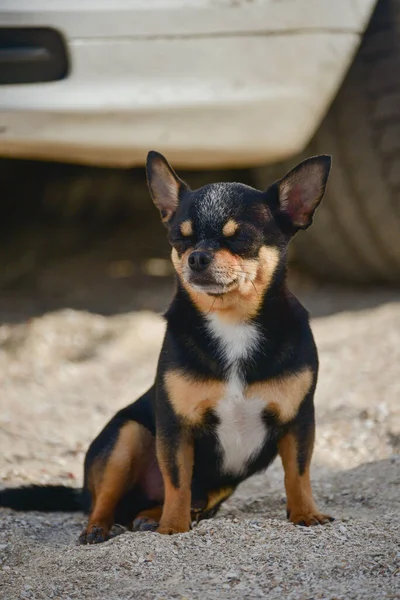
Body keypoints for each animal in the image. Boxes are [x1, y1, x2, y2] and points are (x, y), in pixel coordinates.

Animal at [0, 151, 334, 544]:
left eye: (240, 238)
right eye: (180, 239)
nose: (197, 257)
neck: (233, 323)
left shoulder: (299, 421)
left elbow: (298, 474)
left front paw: (305, 514)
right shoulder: (175, 428)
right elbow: (177, 480)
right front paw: (172, 527)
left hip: (217, 486)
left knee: (182, 500)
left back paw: (149, 516)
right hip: (125, 439)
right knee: (104, 500)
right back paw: (102, 527)